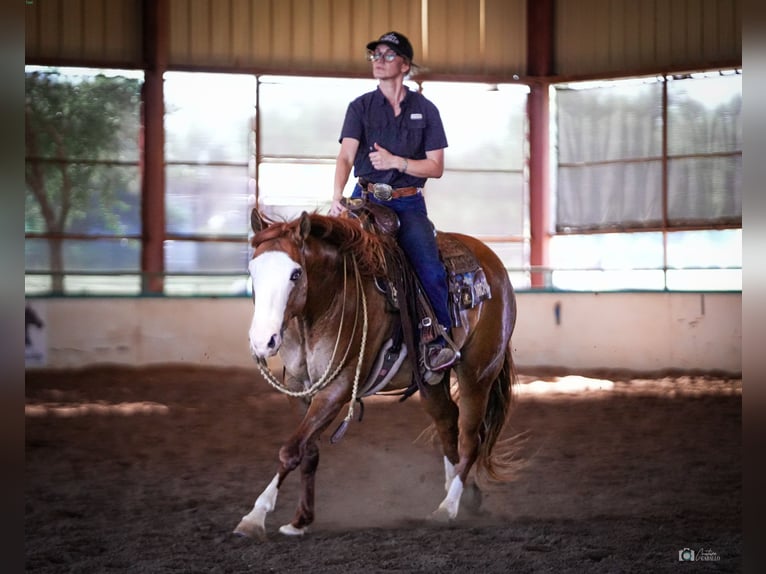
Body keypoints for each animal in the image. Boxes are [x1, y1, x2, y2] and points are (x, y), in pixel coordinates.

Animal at [237, 210, 520, 540]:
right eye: (253, 270)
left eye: (295, 274)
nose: (262, 341)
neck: (327, 301)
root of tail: (492, 262)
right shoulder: (299, 388)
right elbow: (307, 451)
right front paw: (300, 520)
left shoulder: (338, 387)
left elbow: (290, 450)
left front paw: (255, 516)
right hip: (431, 381)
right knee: (447, 420)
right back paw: (464, 494)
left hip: (478, 371)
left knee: (470, 436)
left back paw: (447, 507)